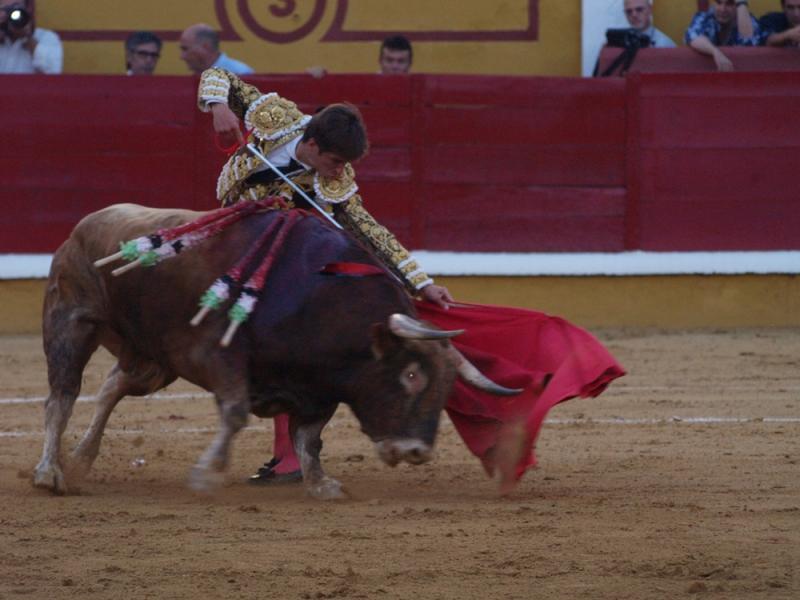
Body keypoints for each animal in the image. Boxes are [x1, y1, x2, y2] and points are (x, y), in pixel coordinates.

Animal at [32, 204, 512, 500]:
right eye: (411, 375)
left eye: (448, 385)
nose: (418, 452)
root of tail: (86, 223)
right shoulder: (215, 357)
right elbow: (235, 414)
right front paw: (207, 473)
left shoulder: (319, 391)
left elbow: (309, 439)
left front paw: (321, 485)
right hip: (72, 321)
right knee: (61, 397)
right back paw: (49, 473)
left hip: (150, 359)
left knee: (111, 386)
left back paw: (80, 460)